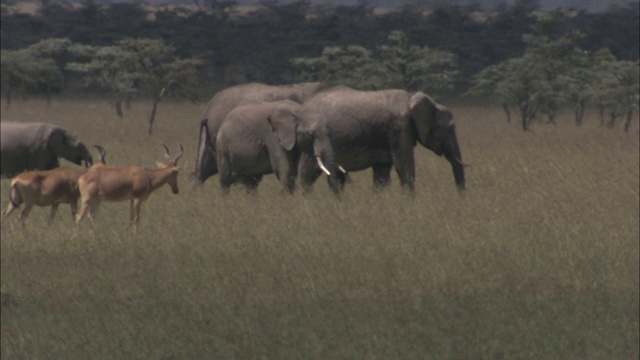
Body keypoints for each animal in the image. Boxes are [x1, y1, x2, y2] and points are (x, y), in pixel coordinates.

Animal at [216, 98, 344, 194]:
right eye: (310, 134)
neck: (298, 110)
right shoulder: (272, 136)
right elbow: (284, 168)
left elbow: (292, 172)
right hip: (223, 146)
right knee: (225, 180)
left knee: (251, 183)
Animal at [296, 86, 464, 193]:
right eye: (449, 129)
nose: (460, 198)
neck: (413, 99)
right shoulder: (399, 128)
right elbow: (404, 166)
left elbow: (382, 173)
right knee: (308, 173)